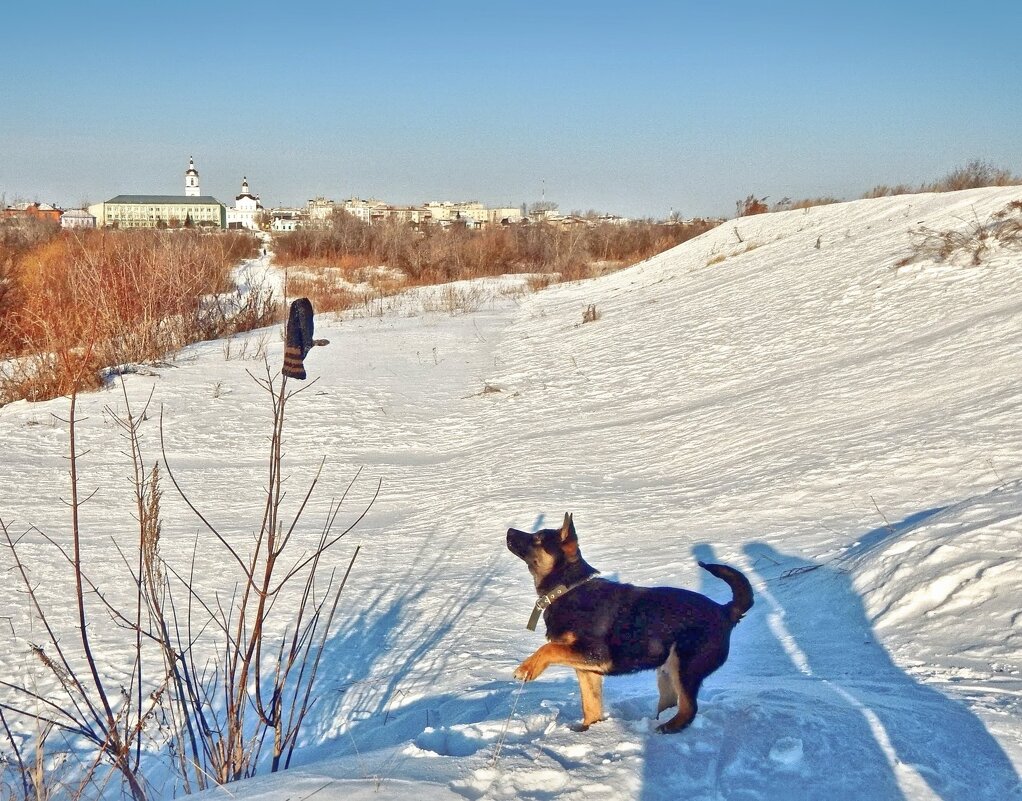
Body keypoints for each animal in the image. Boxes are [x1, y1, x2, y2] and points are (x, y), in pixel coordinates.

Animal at [508, 512, 756, 731]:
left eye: (538, 537)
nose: (509, 530)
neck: (568, 588)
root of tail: (725, 611)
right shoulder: (586, 669)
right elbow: (591, 706)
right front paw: (589, 731)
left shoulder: (595, 654)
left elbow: (548, 648)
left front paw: (527, 668)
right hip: (666, 672)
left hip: (684, 665)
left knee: (689, 708)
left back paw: (667, 728)